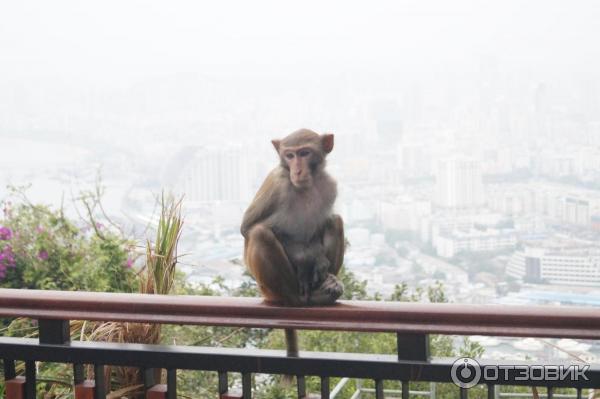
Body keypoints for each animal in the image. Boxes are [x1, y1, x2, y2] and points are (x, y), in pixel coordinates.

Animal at [240, 130, 344, 308]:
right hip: (268, 291)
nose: (297, 171)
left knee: (335, 221)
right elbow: (248, 227)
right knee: (260, 234)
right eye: (289, 155)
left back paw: (326, 287)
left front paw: (319, 260)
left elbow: (319, 228)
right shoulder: (276, 185)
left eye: (304, 153)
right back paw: (296, 298)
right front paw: (304, 260)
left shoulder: (329, 186)